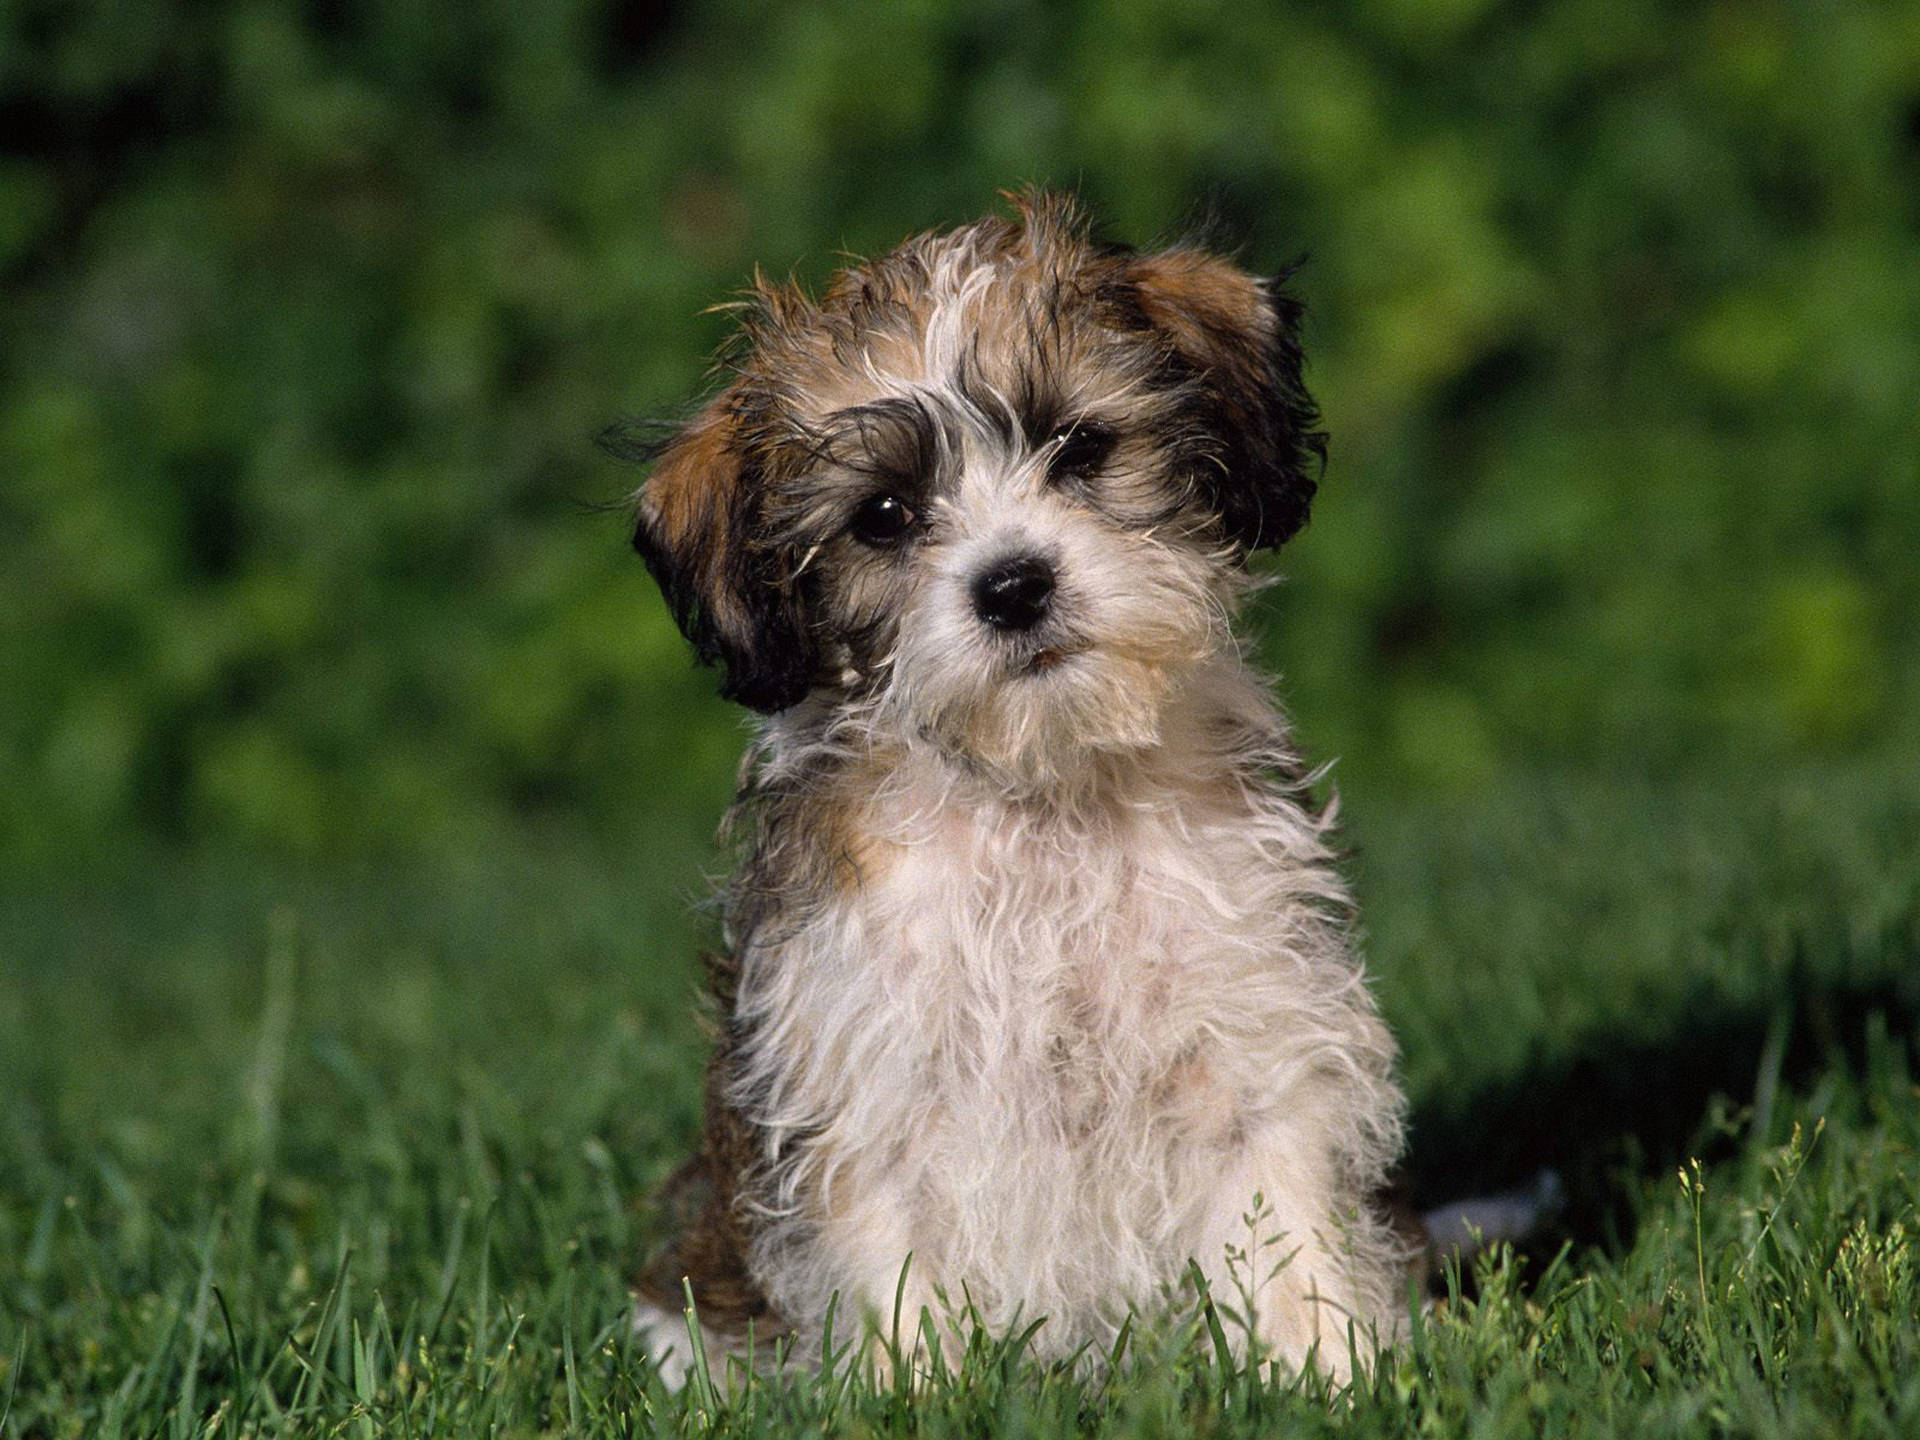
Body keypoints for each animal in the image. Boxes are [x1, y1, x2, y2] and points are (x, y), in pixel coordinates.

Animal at [622, 192, 1405, 1390]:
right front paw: (920, 1395)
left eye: (1080, 447)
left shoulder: (1250, 1040)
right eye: (884, 516)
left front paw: (1328, 1375)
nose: (1014, 585)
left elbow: (1285, 1231)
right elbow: (897, 1281)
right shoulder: (865, 1090)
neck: (1044, 799)